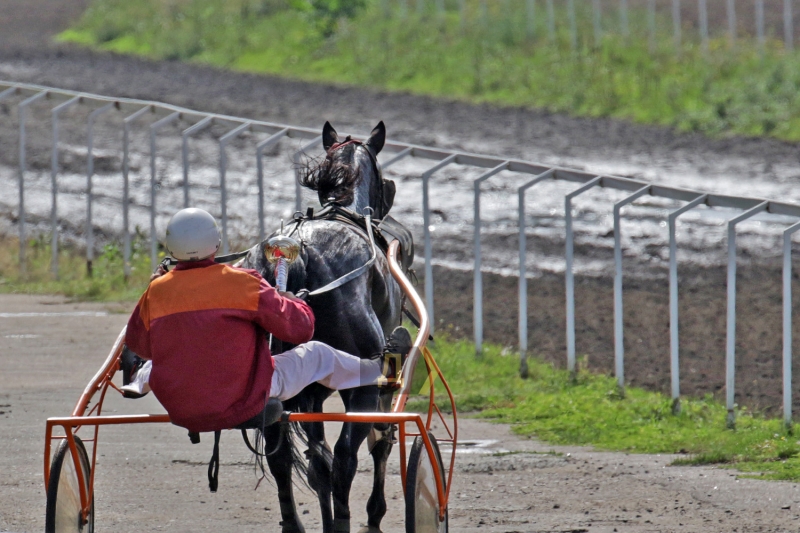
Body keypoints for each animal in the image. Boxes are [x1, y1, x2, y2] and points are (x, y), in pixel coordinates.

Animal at [239, 121, 404, 532]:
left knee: (281, 457)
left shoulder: (309, 393)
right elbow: (378, 442)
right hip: (361, 386)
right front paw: (373, 514)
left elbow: (317, 464)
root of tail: (295, 255)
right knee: (346, 458)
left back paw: (294, 523)